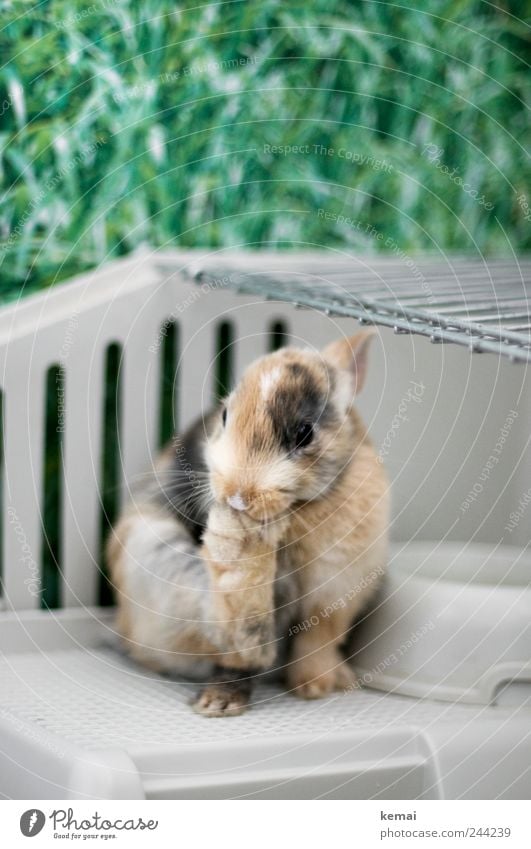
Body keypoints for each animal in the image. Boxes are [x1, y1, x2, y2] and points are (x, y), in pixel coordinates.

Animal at [107, 332, 390, 716]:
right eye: (225, 414)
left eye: (305, 433)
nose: (237, 497)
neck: (298, 510)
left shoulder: (334, 596)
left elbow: (317, 642)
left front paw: (315, 688)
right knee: (235, 643)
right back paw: (218, 702)